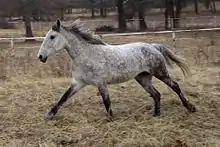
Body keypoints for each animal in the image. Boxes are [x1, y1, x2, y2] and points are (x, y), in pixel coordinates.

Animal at [37, 19, 196, 120]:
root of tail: (153, 46)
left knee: (175, 86)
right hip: (143, 78)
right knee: (156, 94)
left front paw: (111, 118)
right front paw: (49, 115)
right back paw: (156, 115)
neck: (87, 55)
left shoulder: (101, 83)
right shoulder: (78, 83)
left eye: (52, 36)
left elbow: (107, 102)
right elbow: (63, 98)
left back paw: (190, 107)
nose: (40, 56)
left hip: (160, 72)